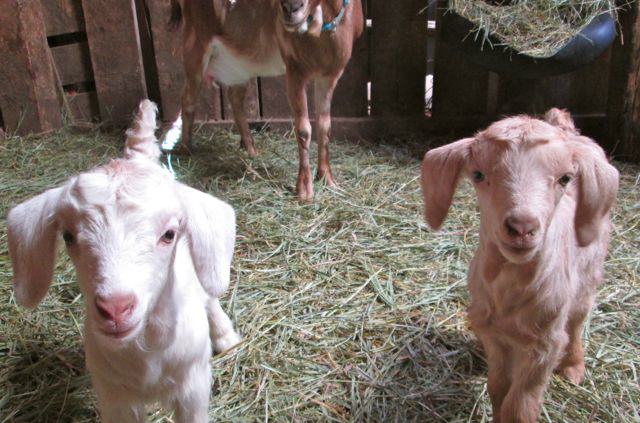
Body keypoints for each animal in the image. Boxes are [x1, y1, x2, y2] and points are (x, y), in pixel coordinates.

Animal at [7, 100, 241, 422]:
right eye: (68, 236)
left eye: (169, 234)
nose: (115, 308)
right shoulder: (113, 395)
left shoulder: (193, 387)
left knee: (209, 297)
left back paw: (227, 338)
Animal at [169, 0, 364, 201]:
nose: (290, 8)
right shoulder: (294, 69)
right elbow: (303, 129)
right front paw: (304, 190)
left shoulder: (330, 74)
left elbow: (325, 126)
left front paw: (327, 179)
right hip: (196, 42)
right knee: (188, 98)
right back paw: (186, 149)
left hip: (241, 58)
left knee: (234, 96)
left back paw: (251, 151)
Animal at [420, 109, 619, 422]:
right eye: (478, 175)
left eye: (565, 178)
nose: (522, 227)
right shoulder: (493, 332)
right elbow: (498, 386)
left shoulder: (544, 345)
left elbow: (520, 405)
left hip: (589, 271)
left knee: (577, 319)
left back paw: (574, 366)